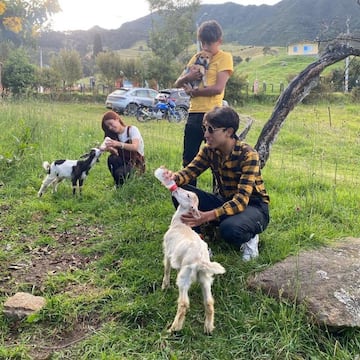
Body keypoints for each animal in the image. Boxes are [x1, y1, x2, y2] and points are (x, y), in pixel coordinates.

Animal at [162, 188, 226, 334]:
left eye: (187, 195)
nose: (175, 189)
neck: (179, 224)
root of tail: (201, 260)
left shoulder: (167, 253)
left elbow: (167, 269)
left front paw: (165, 286)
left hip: (185, 277)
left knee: (184, 303)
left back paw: (173, 328)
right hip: (205, 278)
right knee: (209, 302)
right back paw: (208, 328)